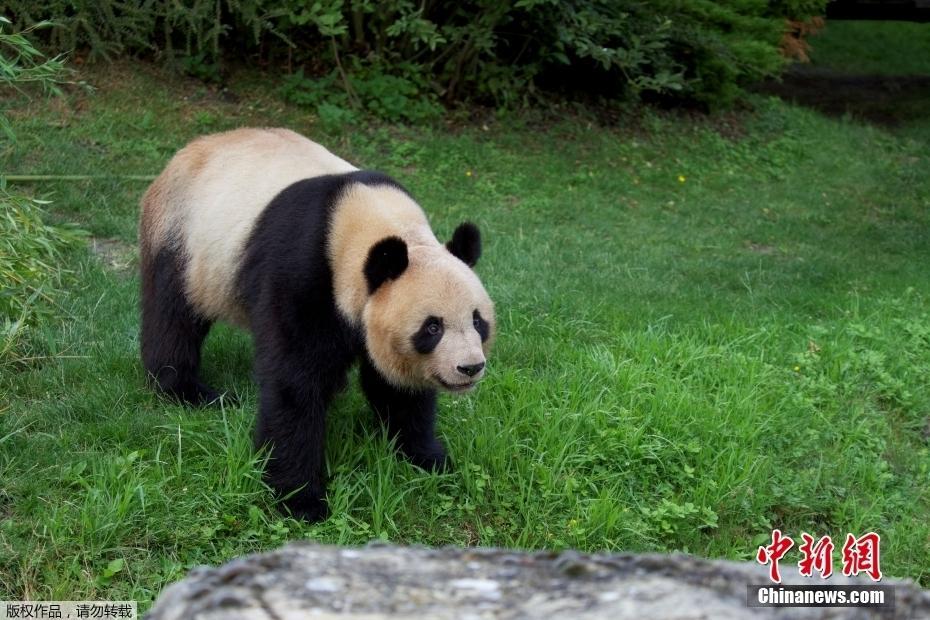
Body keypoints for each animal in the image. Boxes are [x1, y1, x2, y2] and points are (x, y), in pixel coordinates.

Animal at [138, 128, 492, 520]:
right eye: (432, 328)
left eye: (478, 321)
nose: (470, 367)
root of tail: (187, 151)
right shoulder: (303, 271)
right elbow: (295, 381)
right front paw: (301, 499)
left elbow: (395, 387)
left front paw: (429, 459)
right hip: (185, 239)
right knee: (174, 315)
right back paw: (187, 390)